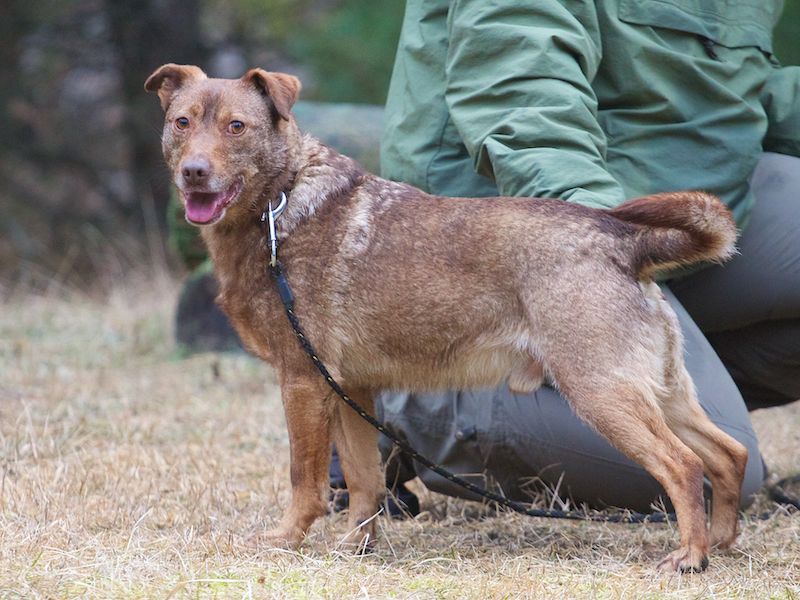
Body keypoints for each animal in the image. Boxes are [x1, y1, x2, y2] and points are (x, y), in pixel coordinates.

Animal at [145, 64, 748, 572]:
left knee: (684, 467)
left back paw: (690, 557)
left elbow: (304, 480)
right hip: (662, 394)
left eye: (237, 127)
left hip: (603, 395)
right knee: (727, 453)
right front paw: (355, 547)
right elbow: (364, 481)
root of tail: (624, 242)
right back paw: (720, 543)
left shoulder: (302, 381)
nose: (195, 172)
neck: (281, 204)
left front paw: (286, 540)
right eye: (182, 122)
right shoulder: (348, 389)